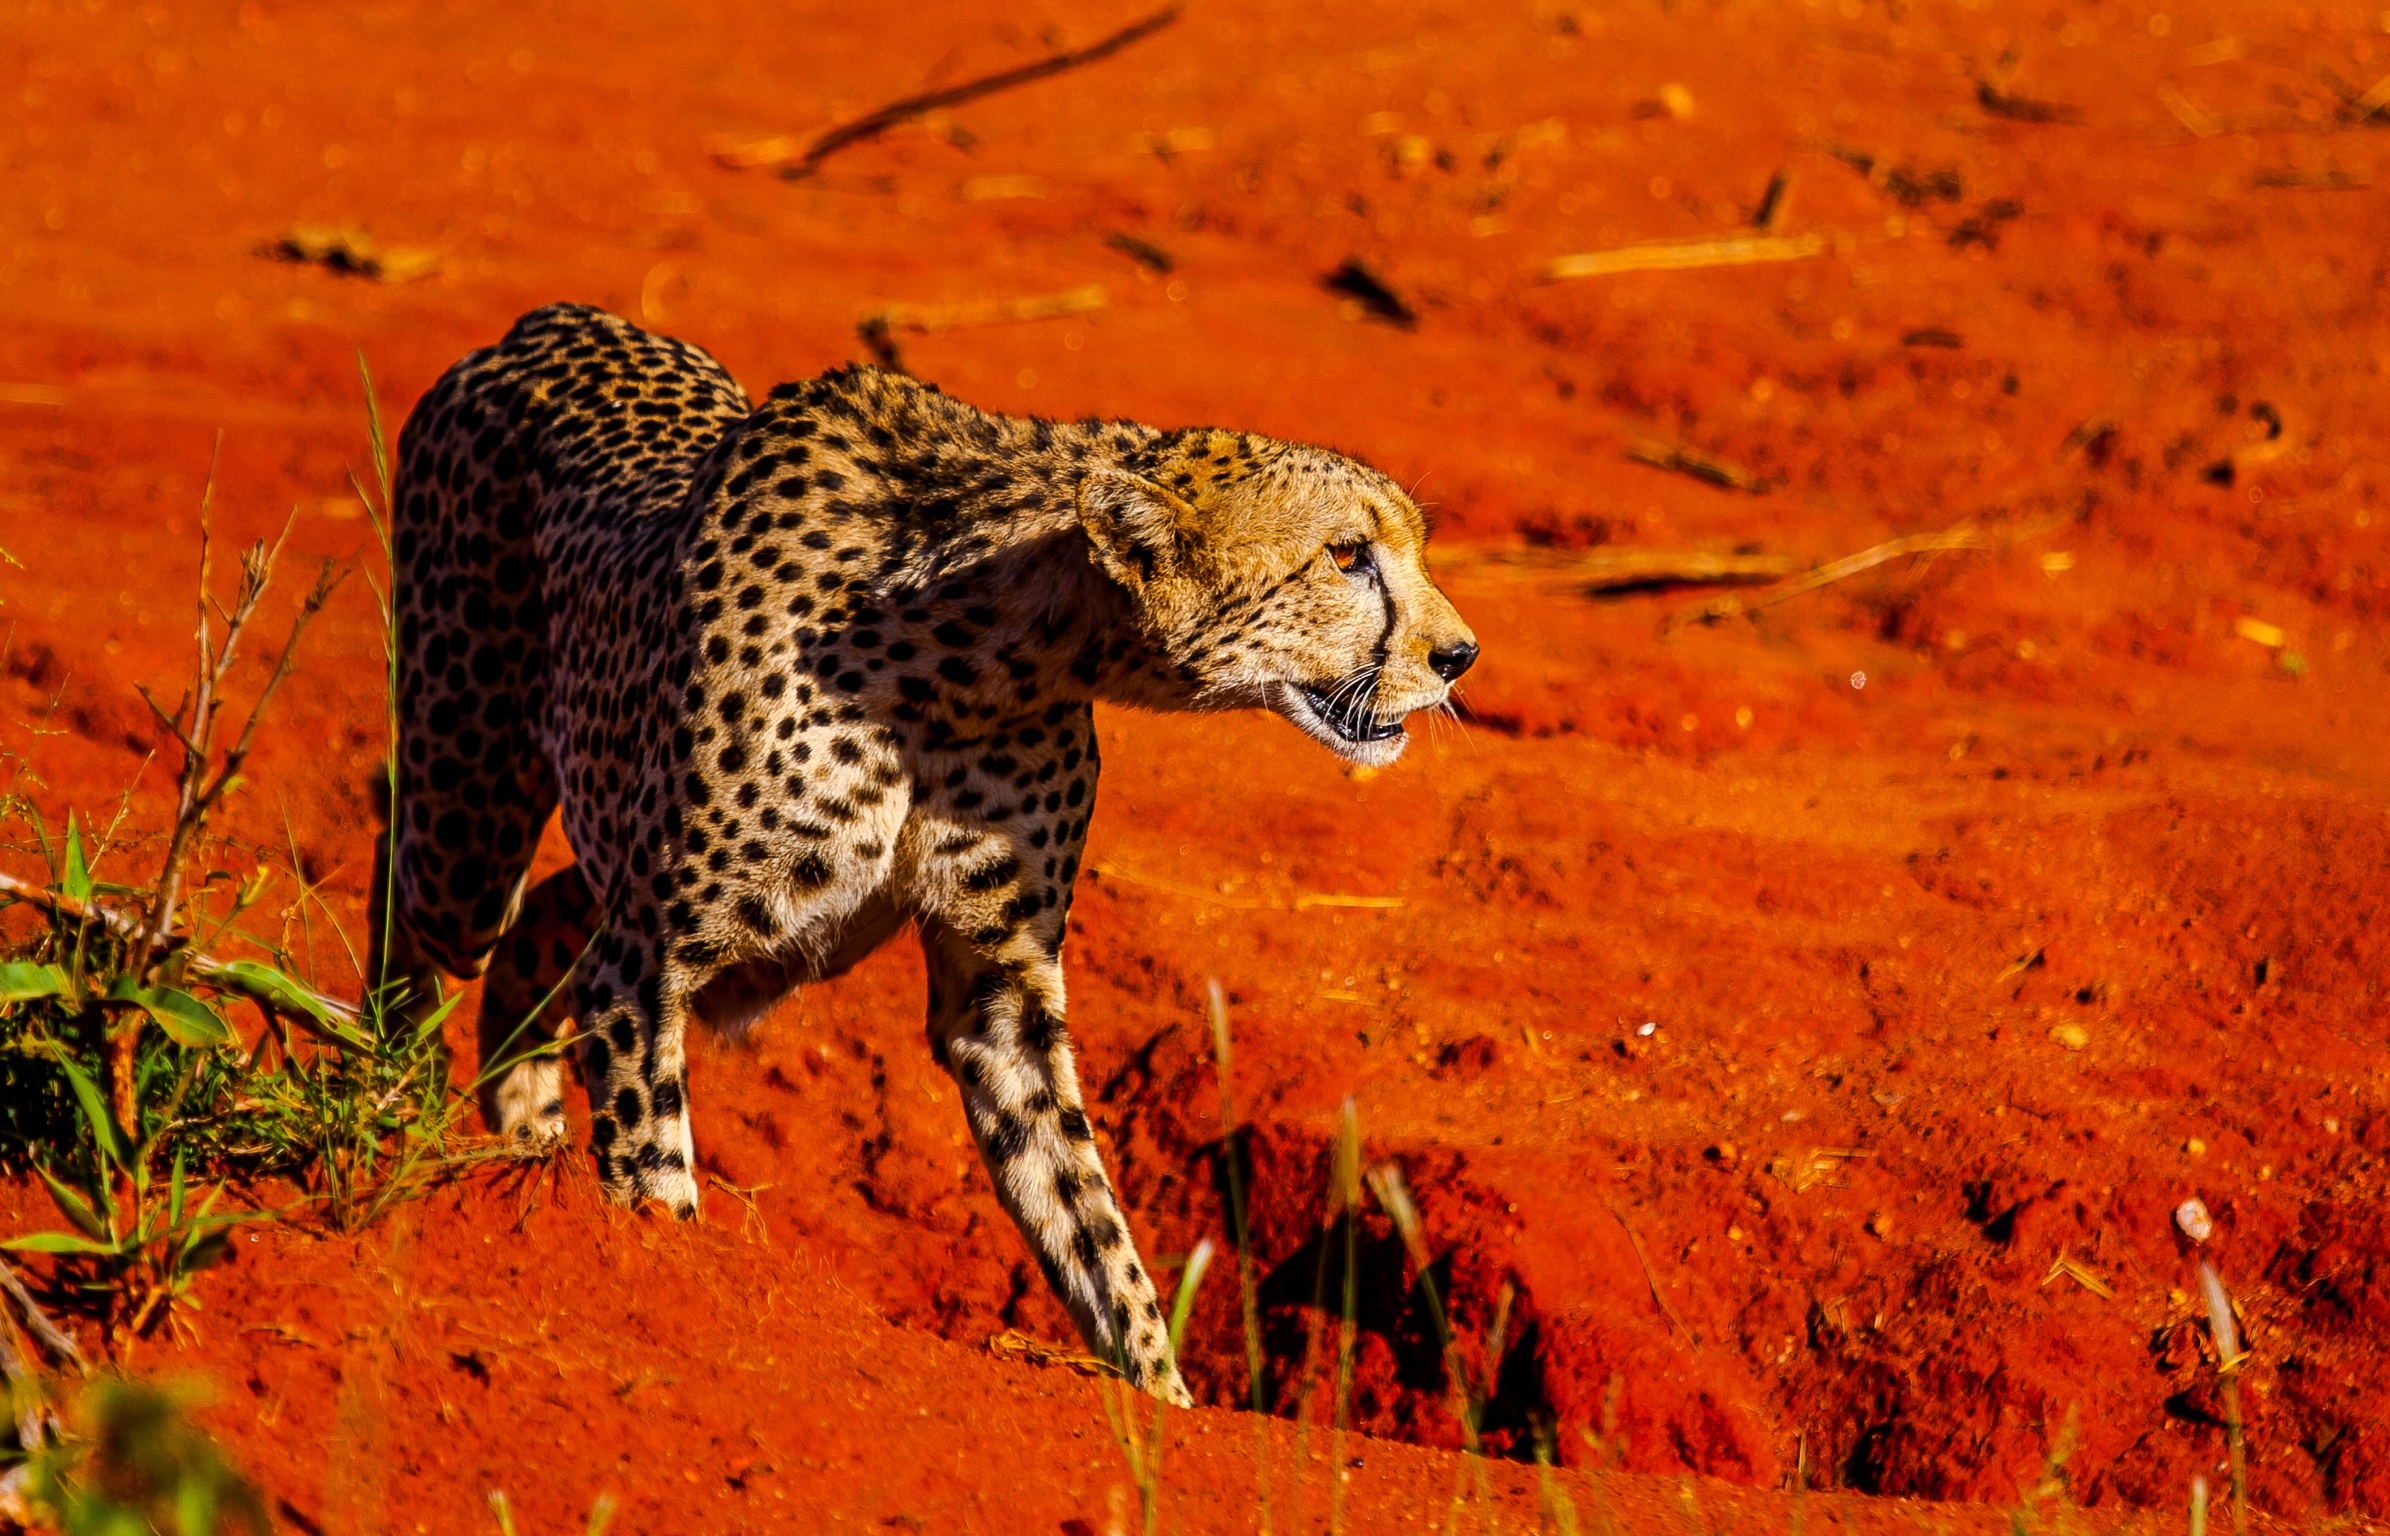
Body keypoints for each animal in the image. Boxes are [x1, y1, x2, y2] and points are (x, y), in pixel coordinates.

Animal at [368, 302, 1478, 1403]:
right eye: (1345, 555)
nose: (1459, 655)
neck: (986, 654)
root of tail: (550, 321)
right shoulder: (647, 962)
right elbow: (654, 1169)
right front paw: (668, 1278)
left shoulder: (1000, 993)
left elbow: (1086, 1214)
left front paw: (1159, 1400)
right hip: (466, 820)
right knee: (417, 885)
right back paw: (388, 1099)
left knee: (549, 915)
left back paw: (525, 1136)